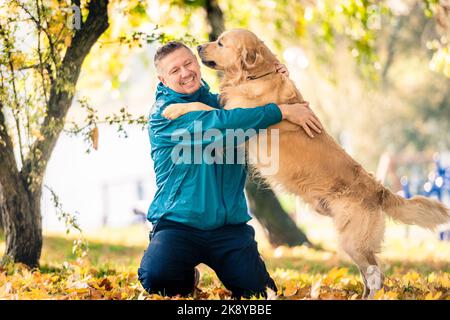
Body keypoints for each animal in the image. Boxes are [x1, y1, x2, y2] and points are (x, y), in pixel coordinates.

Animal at [162, 28, 450, 298]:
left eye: (221, 43)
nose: (199, 46)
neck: (256, 76)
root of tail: (379, 189)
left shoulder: (237, 122)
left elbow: (203, 108)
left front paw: (172, 109)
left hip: (353, 241)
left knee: (376, 274)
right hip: (351, 241)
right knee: (370, 275)